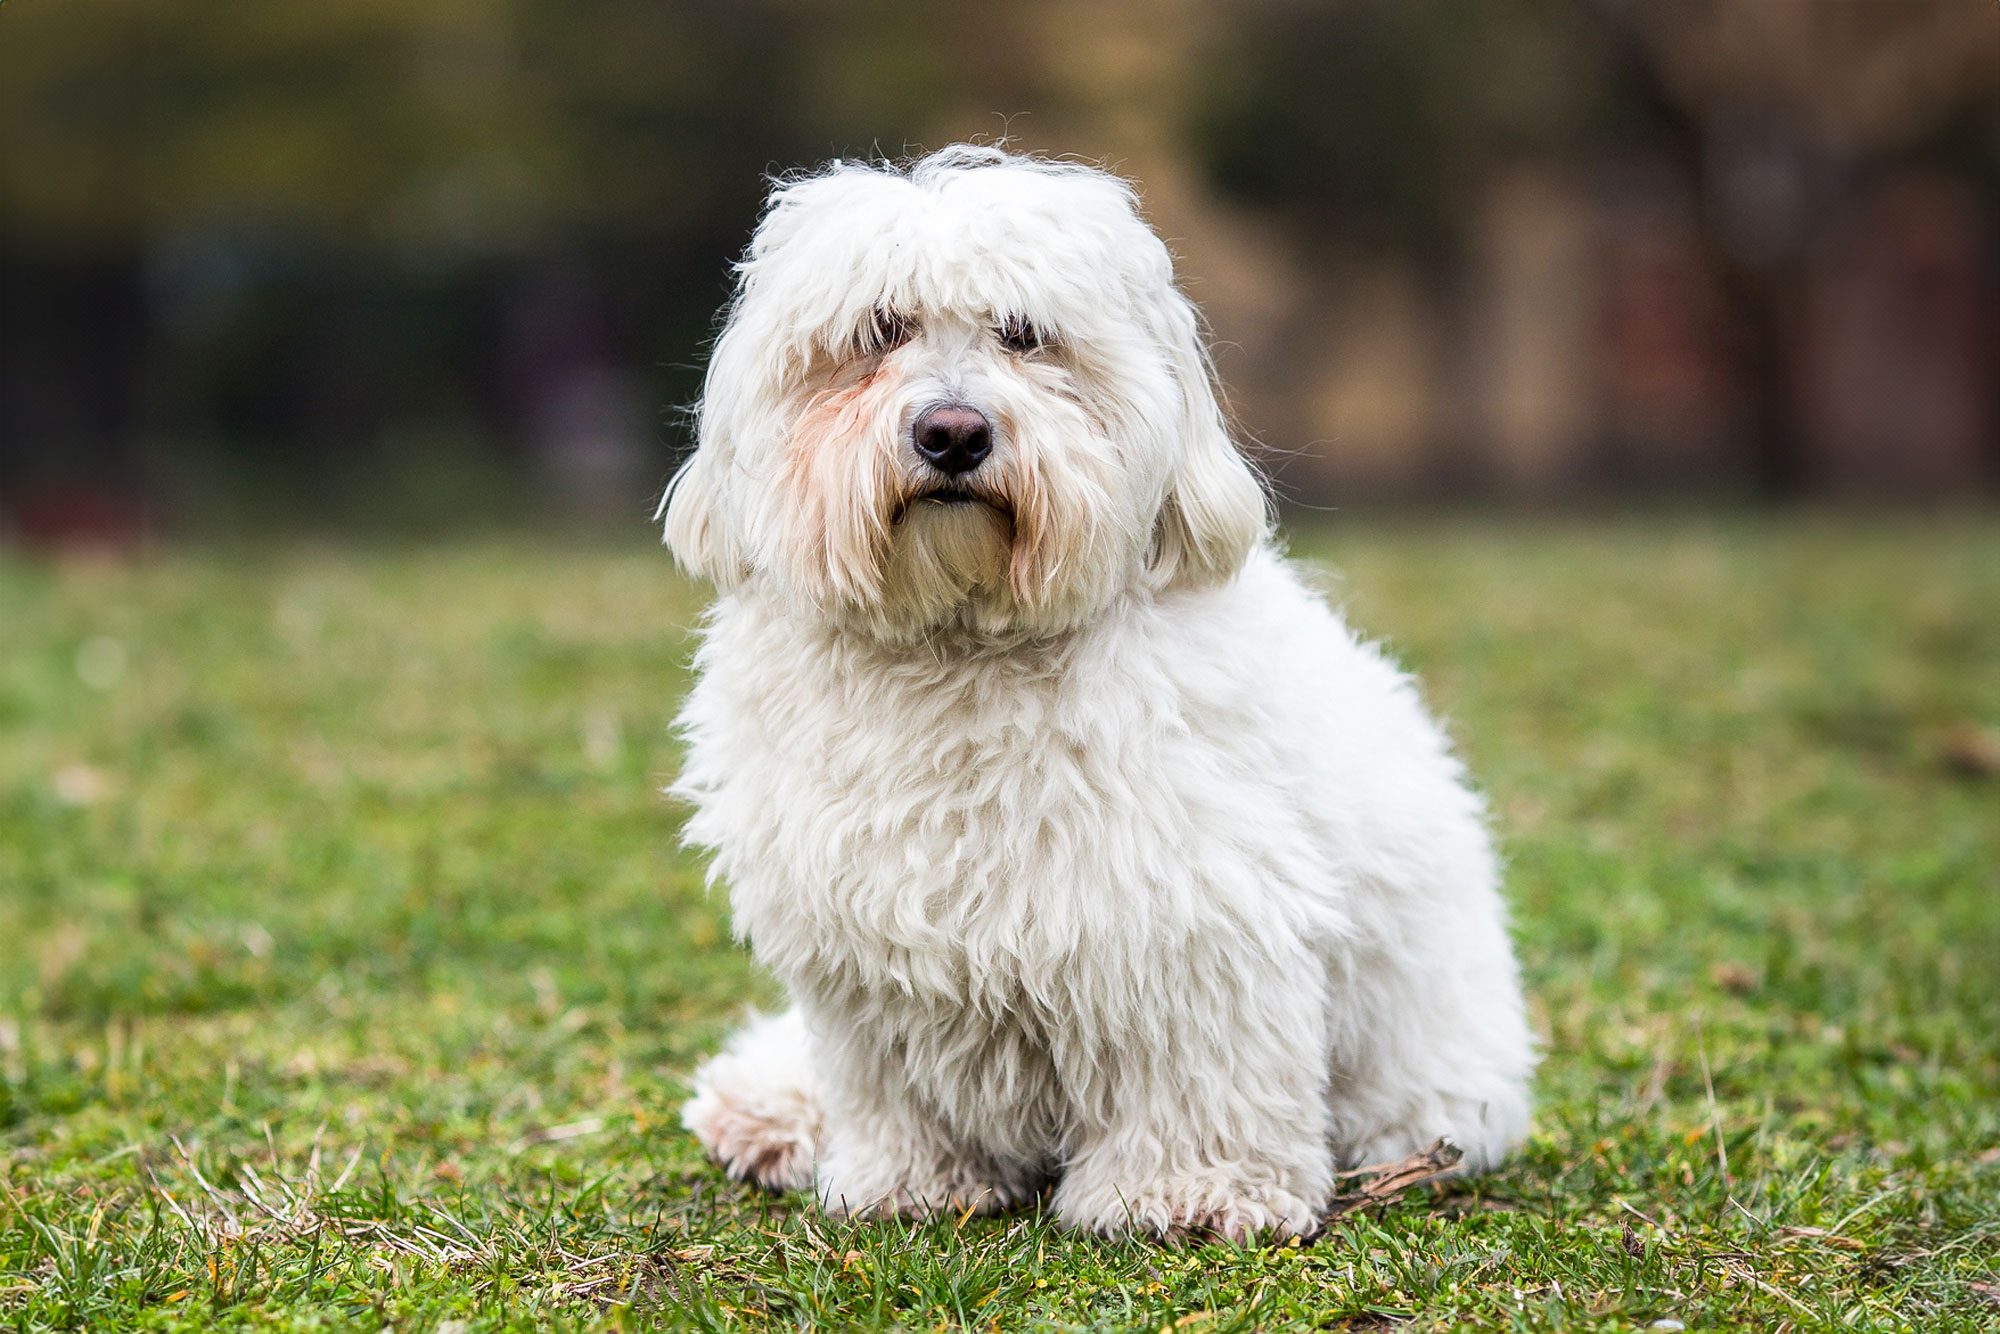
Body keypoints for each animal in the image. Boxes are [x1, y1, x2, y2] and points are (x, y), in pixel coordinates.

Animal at [668, 144, 1528, 1240]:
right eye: (881, 330)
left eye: (1025, 334)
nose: (953, 432)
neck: (964, 645)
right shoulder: (870, 944)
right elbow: (896, 1080)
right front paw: (911, 1176)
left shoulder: (1191, 920)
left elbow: (1193, 1074)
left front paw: (1188, 1192)